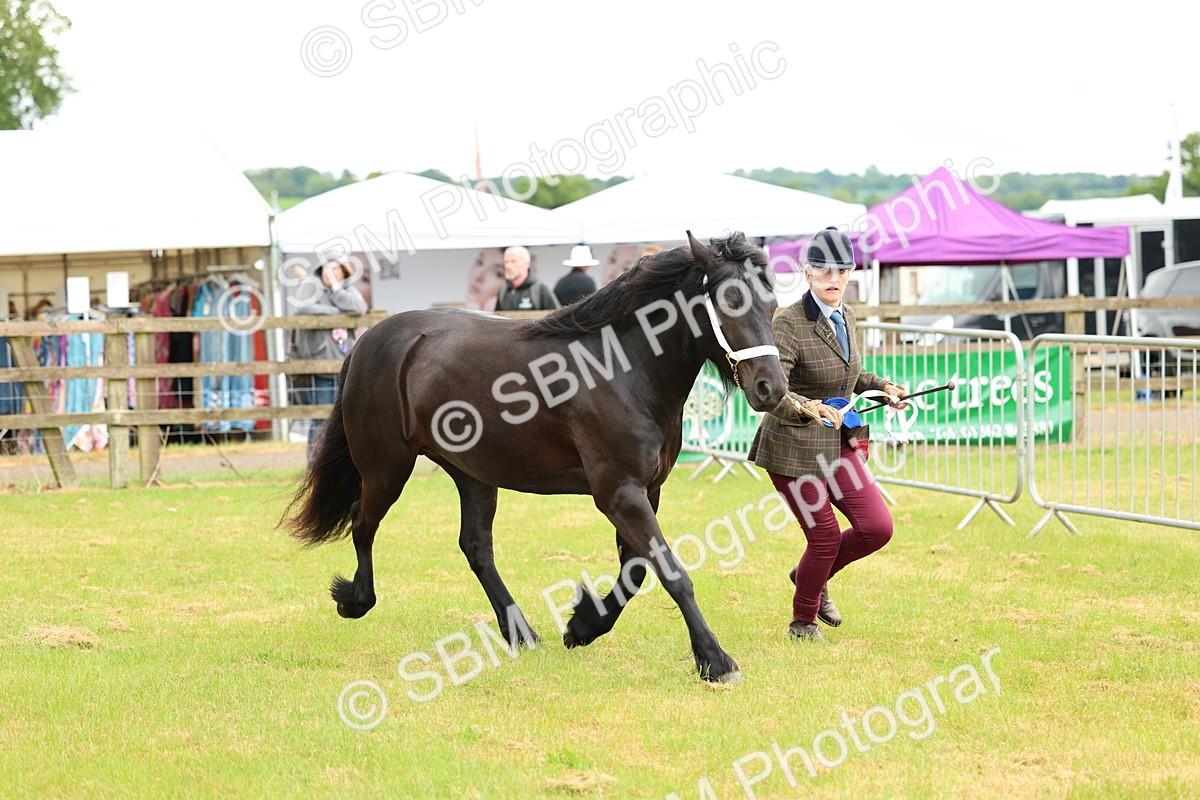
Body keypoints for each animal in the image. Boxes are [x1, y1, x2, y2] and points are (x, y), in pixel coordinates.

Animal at [282, 231, 787, 682]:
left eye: (772, 303)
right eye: (729, 301)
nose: (772, 388)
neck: (624, 371)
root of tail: (368, 341)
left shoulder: (648, 490)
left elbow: (637, 571)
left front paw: (583, 626)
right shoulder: (619, 493)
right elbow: (671, 572)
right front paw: (715, 661)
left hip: (472, 474)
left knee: (475, 547)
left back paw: (520, 632)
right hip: (386, 469)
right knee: (362, 522)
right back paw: (355, 600)